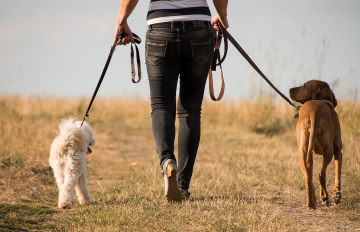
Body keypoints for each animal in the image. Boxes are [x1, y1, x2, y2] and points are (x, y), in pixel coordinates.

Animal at [288, 79, 342, 208]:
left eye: (303, 85)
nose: (289, 90)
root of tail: (314, 111)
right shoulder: (338, 150)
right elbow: (338, 173)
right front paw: (336, 194)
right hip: (328, 151)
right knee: (321, 173)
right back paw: (324, 197)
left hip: (302, 151)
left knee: (308, 177)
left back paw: (311, 203)